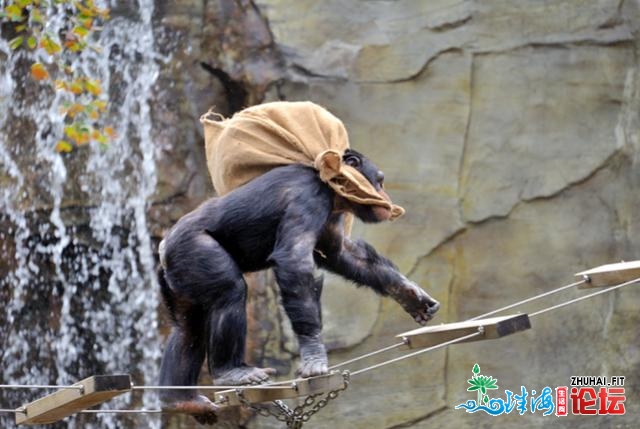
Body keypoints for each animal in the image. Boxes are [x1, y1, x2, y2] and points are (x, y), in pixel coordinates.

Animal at [158, 148, 442, 422]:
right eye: (380, 181)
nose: (386, 194)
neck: (332, 189)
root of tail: (162, 248)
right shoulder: (310, 197)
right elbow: (293, 259)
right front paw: (314, 353)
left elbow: (341, 254)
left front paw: (410, 295)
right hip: (194, 251)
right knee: (229, 293)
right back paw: (231, 372)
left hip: (180, 277)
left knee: (189, 329)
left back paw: (180, 400)